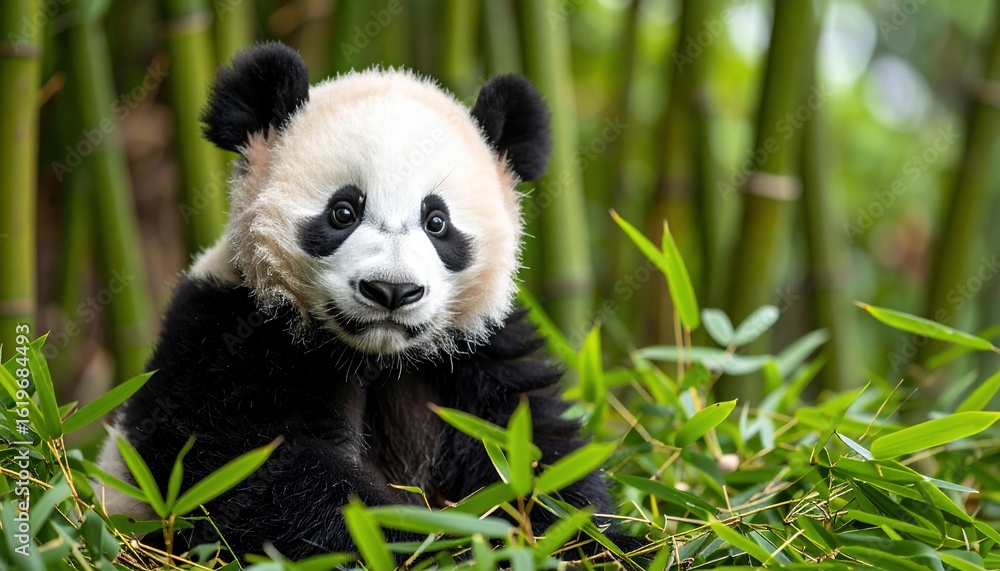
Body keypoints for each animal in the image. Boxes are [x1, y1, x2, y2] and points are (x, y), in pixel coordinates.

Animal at [98, 42, 623, 561]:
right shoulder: (226, 337)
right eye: (343, 211)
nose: (392, 290)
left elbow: (534, 458)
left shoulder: (477, 358)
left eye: (437, 222)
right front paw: (434, 545)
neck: (375, 357)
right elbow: (273, 476)